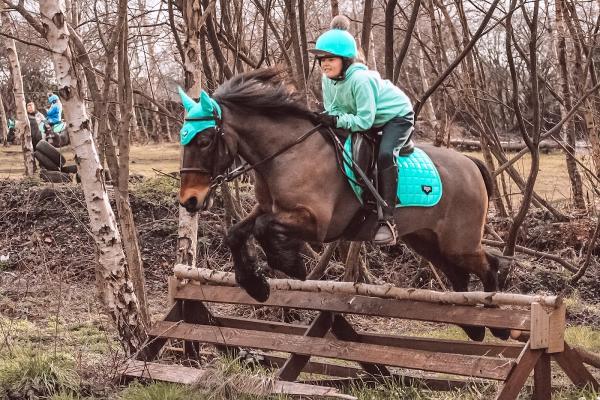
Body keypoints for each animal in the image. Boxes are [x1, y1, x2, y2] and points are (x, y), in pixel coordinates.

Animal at [180, 68, 508, 340]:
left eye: (205, 141)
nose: (189, 200)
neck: (287, 153)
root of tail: (470, 163)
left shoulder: (317, 224)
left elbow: (263, 229)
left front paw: (289, 264)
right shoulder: (267, 208)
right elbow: (236, 233)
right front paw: (255, 284)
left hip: (458, 242)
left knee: (489, 264)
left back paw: (499, 326)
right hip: (427, 241)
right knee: (459, 274)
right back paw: (472, 327)